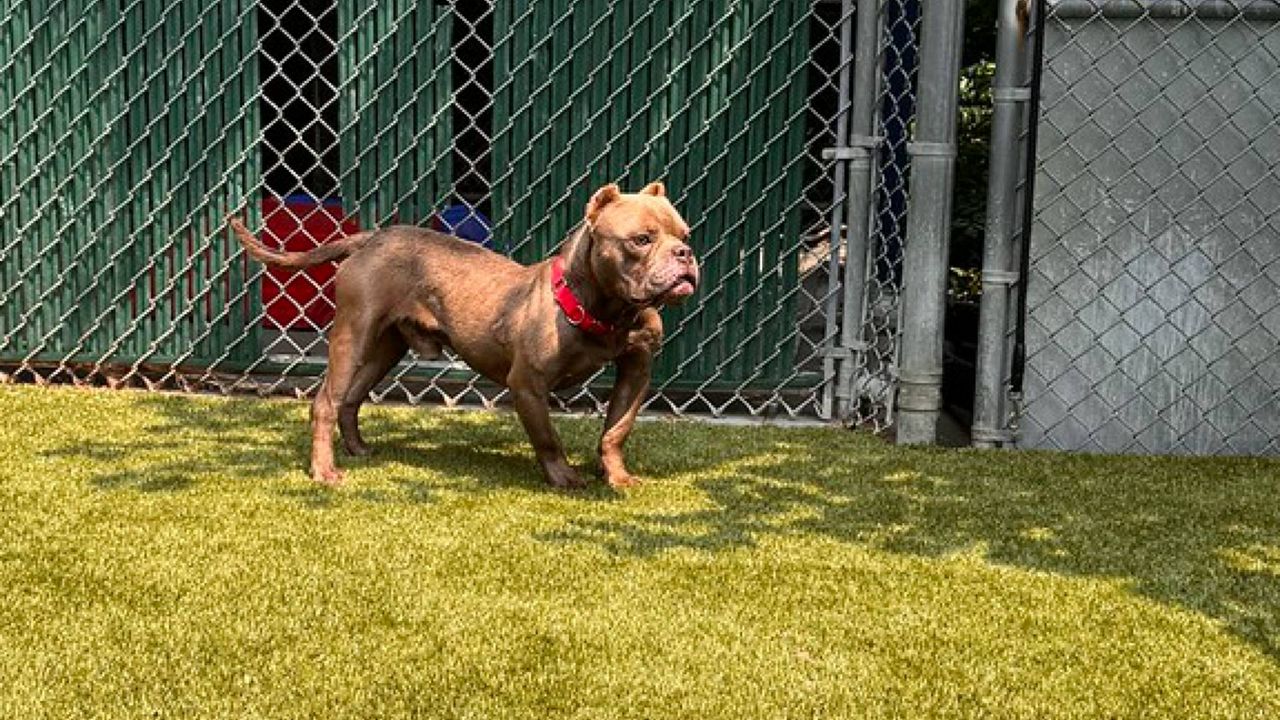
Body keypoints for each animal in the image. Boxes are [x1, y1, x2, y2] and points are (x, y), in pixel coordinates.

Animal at [225, 181, 696, 486]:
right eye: (641, 239)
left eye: (684, 234)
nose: (685, 253)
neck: (608, 308)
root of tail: (371, 238)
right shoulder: (527, 384)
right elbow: (548, 438)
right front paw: (564, 477)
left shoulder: (636, 370)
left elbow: (617, 429)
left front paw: (616, 476)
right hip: (352, 335)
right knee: (325, 401)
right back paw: (324, 472)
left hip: (386, 348)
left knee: (352, 398)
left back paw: (358, 450)